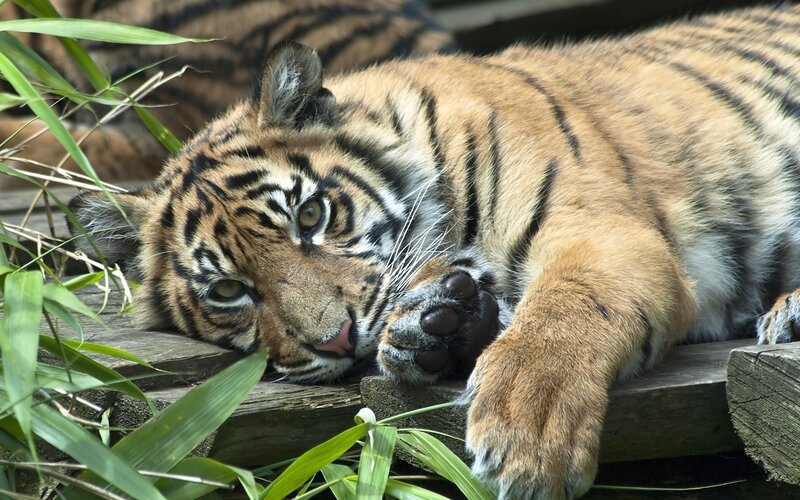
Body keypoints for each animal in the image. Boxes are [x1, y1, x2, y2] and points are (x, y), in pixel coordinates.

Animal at [68, 3, 800, 499]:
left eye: (312, 215)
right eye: (228, 292)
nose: (337, 341)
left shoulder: (604, 229)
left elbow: (563, 314)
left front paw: (526, 436)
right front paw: (437, 327)